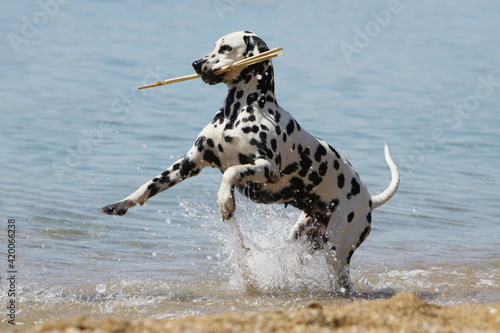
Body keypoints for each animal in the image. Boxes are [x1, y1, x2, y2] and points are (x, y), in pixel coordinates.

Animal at [101, 30, 398, 288]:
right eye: (214, 45)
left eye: (225, 48)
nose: (195, 63)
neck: (238, 111)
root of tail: (369, 200)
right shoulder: (189, 163)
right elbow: (148, 186)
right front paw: (120, 204)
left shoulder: (266, 168)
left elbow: (229, 173)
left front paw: (225, 200)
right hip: (302, 238)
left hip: (338, 249)